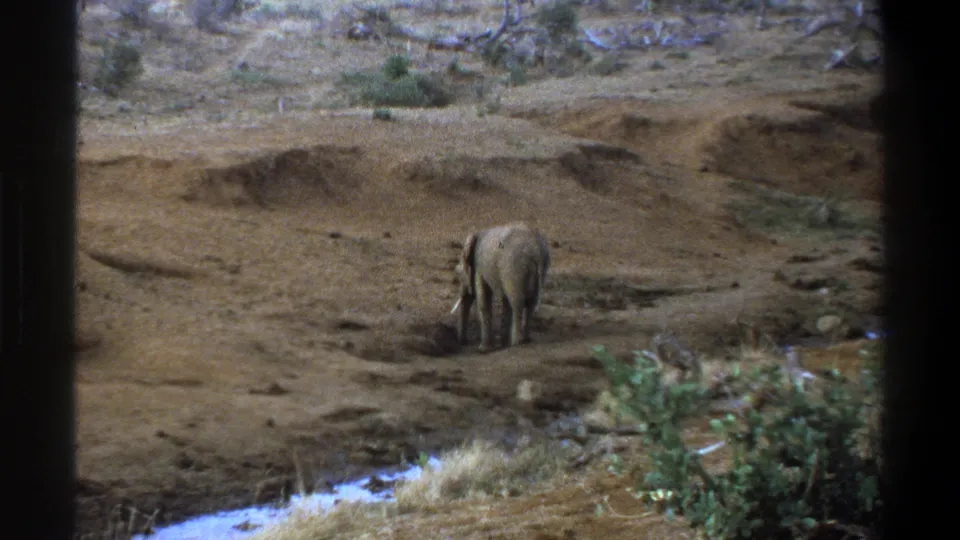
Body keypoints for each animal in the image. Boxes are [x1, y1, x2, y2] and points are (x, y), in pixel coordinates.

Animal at [450, 222, 550, 352]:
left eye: (457, 273)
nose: (464, 342)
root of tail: (536, 252)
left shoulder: (479, 266)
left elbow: (484, 298)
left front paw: (483, 349)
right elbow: (504, 300)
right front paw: (502, 344)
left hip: (513, 268)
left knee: (517, 302)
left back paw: (515, 343)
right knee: (530, 303)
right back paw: (525, 340)